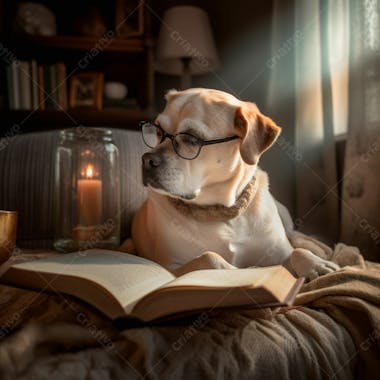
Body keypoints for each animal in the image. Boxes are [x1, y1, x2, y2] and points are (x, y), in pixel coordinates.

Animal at [125, 88, 338, 280]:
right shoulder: (169, 267)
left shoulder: (277, 252)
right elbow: (210, 257)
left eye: (192, 138)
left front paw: (315, 264)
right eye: (157, 130)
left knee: (295, 235)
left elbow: (294, 252)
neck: (223, 212)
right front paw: (243, 270)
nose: (146, 160)